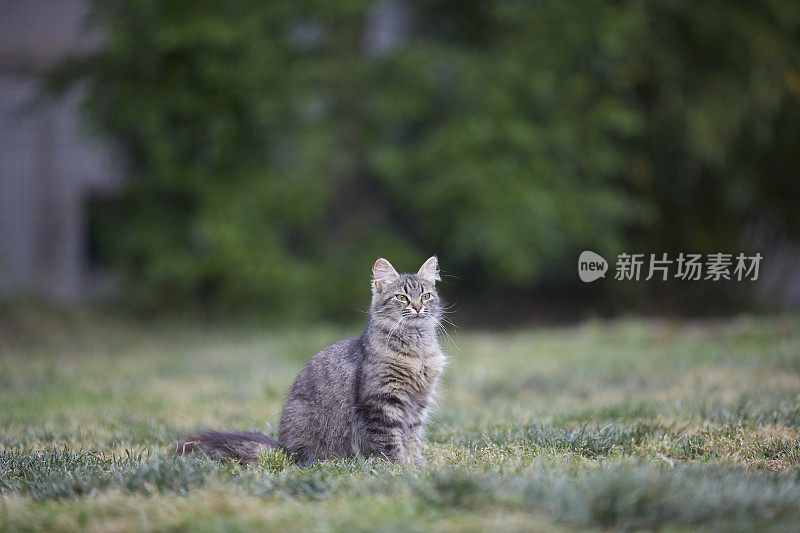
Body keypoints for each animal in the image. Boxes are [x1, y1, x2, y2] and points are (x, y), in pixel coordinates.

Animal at [176, 256, 446, 464]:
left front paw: (415, 465)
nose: (418, 307)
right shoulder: (381, 402)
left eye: (426, 296)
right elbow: (390, 442)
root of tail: (282, 448)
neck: (417, 351)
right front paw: (400, 468)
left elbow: (411, 439)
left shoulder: (417, 404)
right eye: (402, 297)